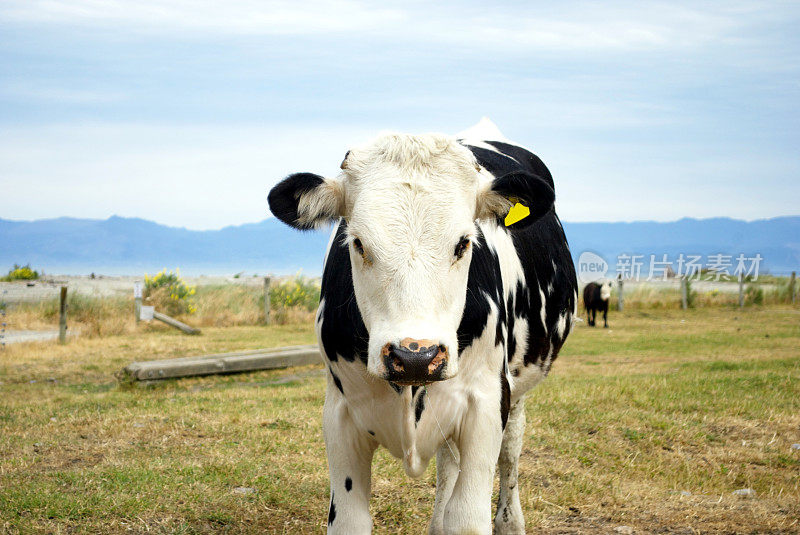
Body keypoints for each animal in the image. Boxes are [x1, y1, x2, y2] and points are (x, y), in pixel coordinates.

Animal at [268, 120, 576, 535]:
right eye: (357, 242)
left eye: (464, 243)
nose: (415, 355)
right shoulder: (339, 414)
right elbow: (350, 520)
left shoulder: (486, 404)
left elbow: (467, 517)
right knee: (449, 463)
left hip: (517, 386)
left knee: (510, 452)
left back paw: (510, 520)